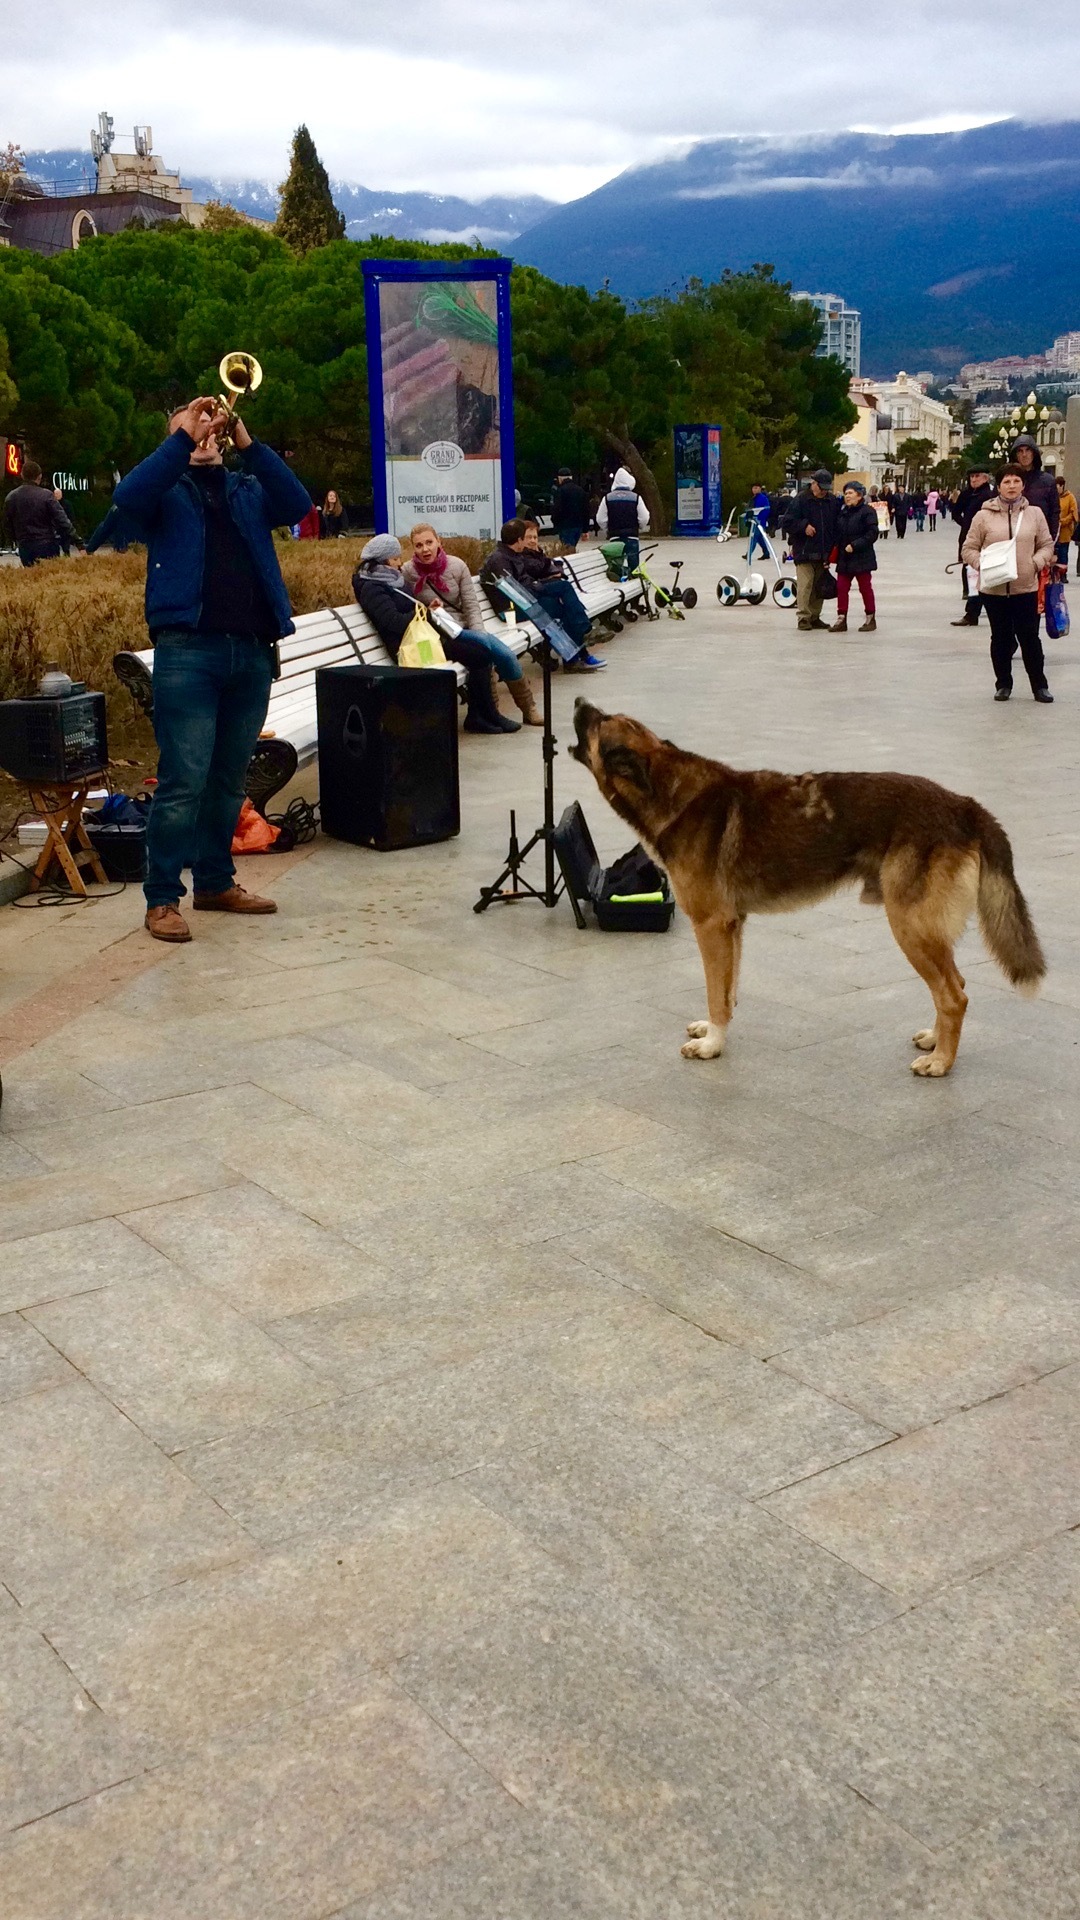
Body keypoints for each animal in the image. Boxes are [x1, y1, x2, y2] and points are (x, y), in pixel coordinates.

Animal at [572, 702, 1045, 1082]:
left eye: (599, 723)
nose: (578, 700)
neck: (669, 791)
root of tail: (965, 805)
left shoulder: (710, 927)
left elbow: (715, 993)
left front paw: (711, 1046)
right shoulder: (732, 926)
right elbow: (727, 990)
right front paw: (714, 1032)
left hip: (910, 928)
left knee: (954, 995)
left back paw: (942, 1063)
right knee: (952, 988)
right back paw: (935, 1041)